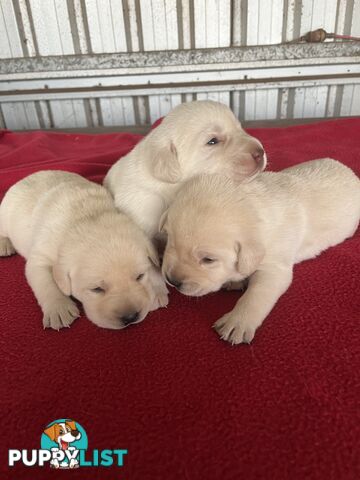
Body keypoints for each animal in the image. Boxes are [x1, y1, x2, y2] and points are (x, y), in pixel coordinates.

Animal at [0, 171, 169, 332]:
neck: (86, 216)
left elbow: (153, 263)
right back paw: (4, 245)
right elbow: (45, 282)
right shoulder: (41, 255)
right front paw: (59, 309)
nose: (130, 317)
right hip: (5, 214)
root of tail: (26, 177)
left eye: (140, 276)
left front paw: (156, 289)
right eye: (97, 289)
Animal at [163, 159, 360, 344]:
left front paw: (237, 322)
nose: (172, 281)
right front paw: (236, 281)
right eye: (169, 239)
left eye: (208, 259)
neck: (254, 208)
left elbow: (257, 294)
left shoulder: (275, 266)